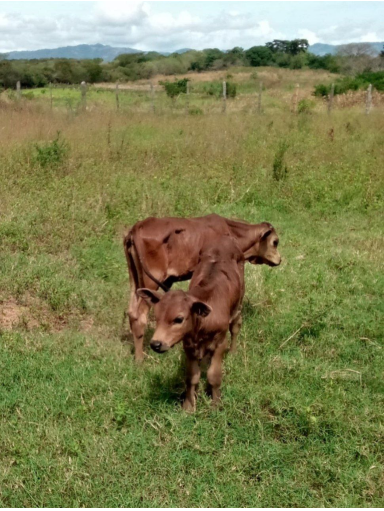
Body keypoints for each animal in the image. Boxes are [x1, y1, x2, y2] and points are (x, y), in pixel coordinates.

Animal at [124, 214, 280, 362]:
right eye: (275, 242)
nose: (279, 259)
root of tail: (136, 228)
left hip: (135, 281)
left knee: (132, 312)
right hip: (150, 281)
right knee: (139, 317)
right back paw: (140, 359)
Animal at [139, 236, 246, 412]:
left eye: (179, 319)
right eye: (156, 316)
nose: (155, 344)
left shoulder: (220, 342)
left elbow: (214, 375)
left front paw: (216, 404)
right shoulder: (188, 345)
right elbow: (191, 377)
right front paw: (188, 406)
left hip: (238, 305)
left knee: (236, 326)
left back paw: (233, 351)